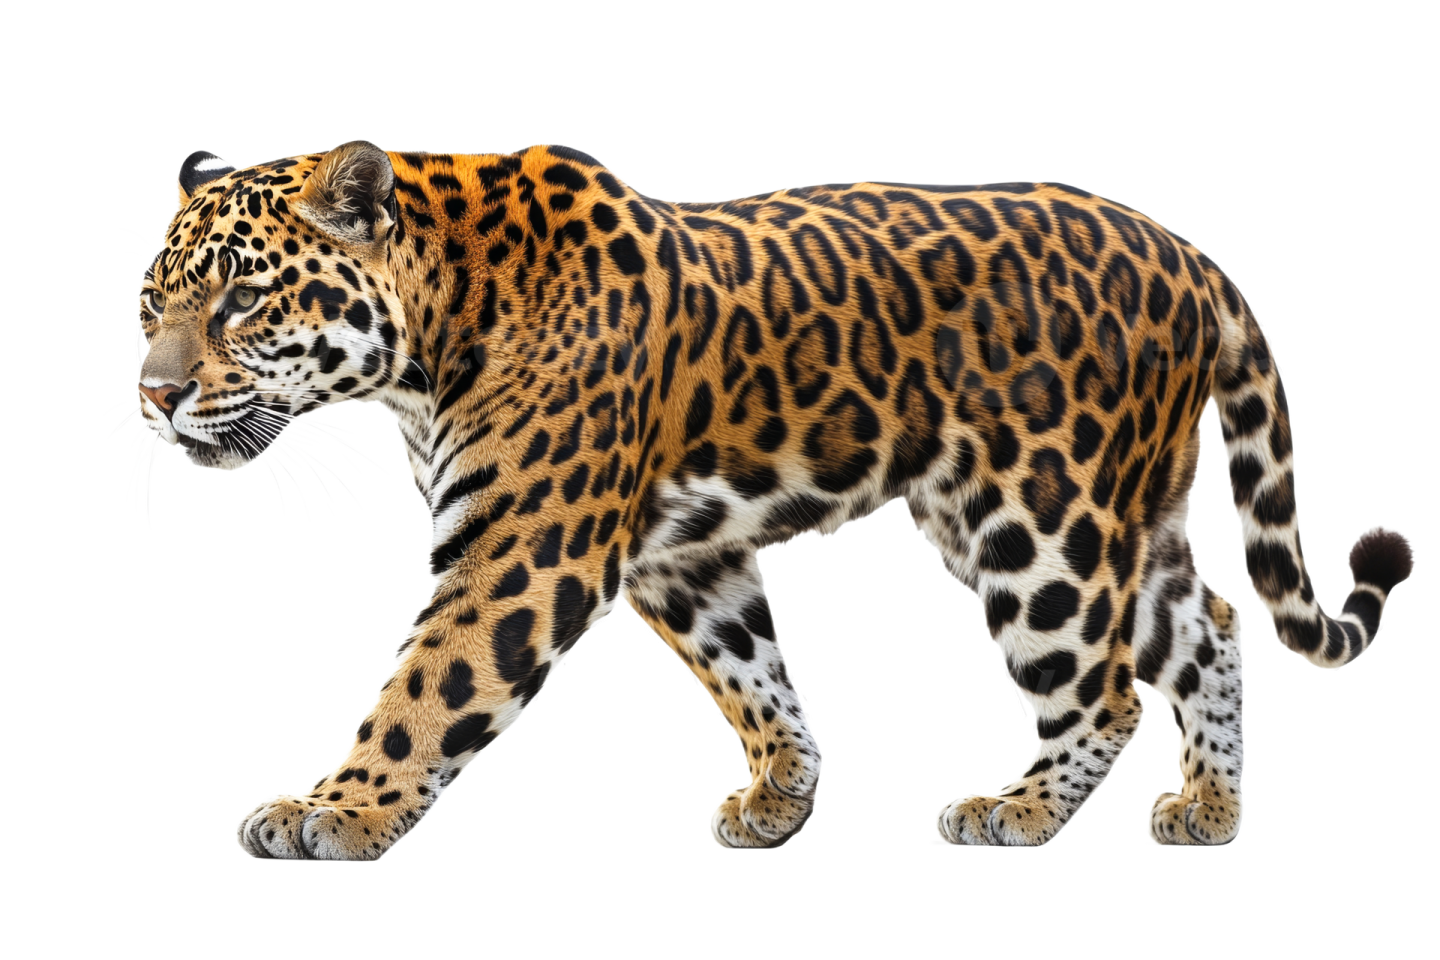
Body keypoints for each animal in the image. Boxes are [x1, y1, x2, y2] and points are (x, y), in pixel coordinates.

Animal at [128, 140, 1417, 857]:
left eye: (242, 300)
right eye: (150, 302)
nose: (153, 392)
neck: (432, 325)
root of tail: (1193, 257)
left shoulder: (522, 552)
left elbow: (424, 693)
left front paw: (333, 812)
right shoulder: (681, 556)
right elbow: (749, 671)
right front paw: (781, 798)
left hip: (1042, 517)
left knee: (1103, 688)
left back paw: (1016, 812)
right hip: (1110, 509)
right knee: (1211, 627)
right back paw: (1208, 810)